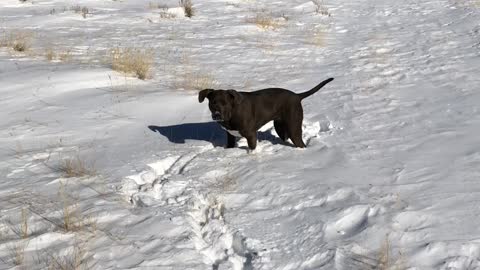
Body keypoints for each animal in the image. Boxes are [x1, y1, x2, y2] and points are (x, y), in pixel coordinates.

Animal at [199, 77, 334, 150]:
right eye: (212, 103)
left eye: (225, 103)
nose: (217, 115)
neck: (231, 115)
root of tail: (297, 96)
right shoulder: (230, 135)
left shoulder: (251, 135)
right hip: (280, 127)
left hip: (293, 127)